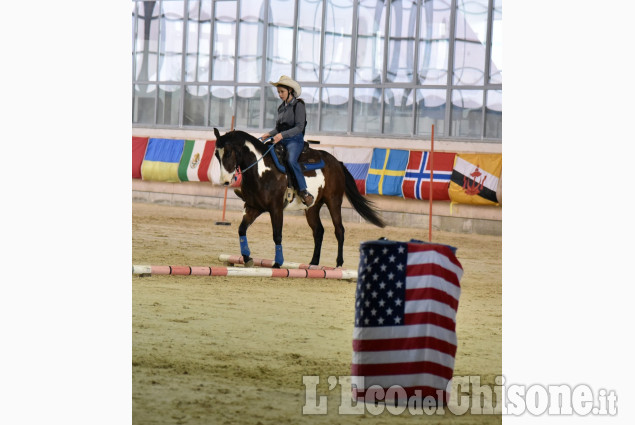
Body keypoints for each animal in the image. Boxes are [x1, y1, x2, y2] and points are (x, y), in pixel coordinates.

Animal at [214, 126, 386, 268]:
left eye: (228, 152)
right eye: (216, 154)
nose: (225, 181)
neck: (262, 171)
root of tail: (337, 162)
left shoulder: (276, 209)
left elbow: (277, 235)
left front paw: (278, 263)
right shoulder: (253, 207)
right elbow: (241, 230)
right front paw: (247, 258)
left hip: (334, 201)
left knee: (339, 230)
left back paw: (338, 264)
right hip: (312, 207)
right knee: (318, 231)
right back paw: (313, 263)